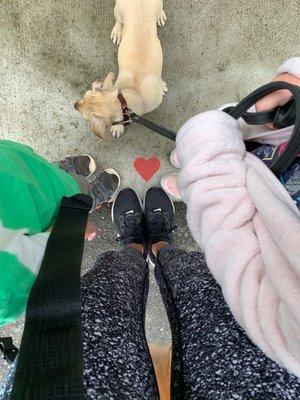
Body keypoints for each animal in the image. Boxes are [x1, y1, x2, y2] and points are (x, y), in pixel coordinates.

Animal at [73, 0, 166, 139]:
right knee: (119, 20)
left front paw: (163, 85)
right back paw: (117, 32)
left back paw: (160, 16)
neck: (134, 94)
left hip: (157, 4)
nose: (74, 105)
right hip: (119, 10)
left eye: (86, 117)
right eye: (85, 96)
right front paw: (118, 127)